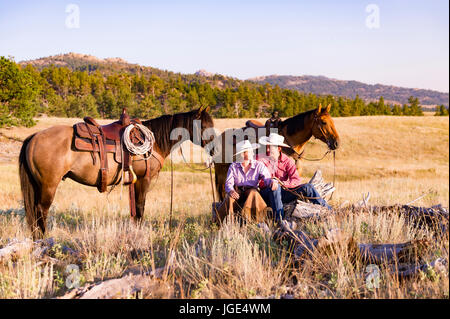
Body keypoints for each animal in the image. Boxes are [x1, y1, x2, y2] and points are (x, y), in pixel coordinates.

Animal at [21, 107, 216, 240]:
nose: (215, 149)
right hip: (48, 185)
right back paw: (44, 239)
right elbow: (140, 208)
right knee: (41, 211)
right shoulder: (143, 180)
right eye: (204, 126)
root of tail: (34, 137)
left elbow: (136, 210)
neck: (155, 142)